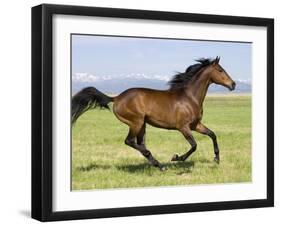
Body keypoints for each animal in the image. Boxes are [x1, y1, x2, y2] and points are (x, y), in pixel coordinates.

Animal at [71, 57, 234, 171]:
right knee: (130, 142)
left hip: (142, 124)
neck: (189, 98)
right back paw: (159, 163)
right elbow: (194, 145)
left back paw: (159, 165)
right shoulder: (183, 127)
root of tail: (116, 98)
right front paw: (176, 158)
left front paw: (216, 159)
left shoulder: (196, 125)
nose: (233, 84)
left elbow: (212, 134)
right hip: (136, 122)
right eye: (220, 70)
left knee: (140, 144)